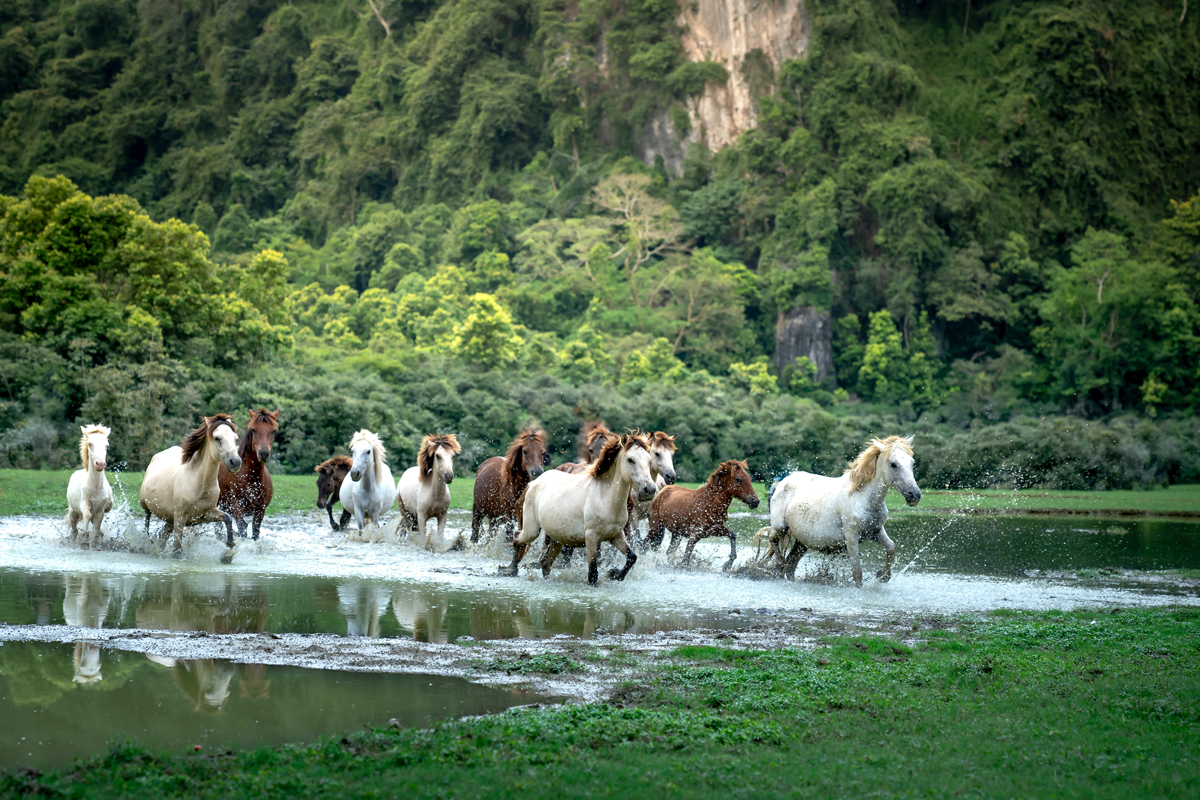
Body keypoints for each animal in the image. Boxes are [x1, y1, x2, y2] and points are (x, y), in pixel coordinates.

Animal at [139, 412, 241, 556]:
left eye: (235, 438)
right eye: (217, 438)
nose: (235, 462)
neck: (200, 487)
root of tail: (156, 456)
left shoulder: (206, 514)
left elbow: (227, 518)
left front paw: (229, 547)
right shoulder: (180, 518)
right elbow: (177, 550)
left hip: (170, 518)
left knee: (162, 534)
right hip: (146, 505)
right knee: (147, 524)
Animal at [218, 410, 278, 542]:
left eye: (273, 431)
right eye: (253, 430)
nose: (264, 453)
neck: (252, 477)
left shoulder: (260, 510)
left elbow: (255, 532)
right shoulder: (237, 507)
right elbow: (242, 529)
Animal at [506, 434, 657, 585]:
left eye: (649, 460)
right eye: (630, 460)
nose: (649, 490)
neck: (605, 497)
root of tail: (533, 483)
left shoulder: (616, 535)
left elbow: (632, 557)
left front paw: (614, 573)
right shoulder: (591, 537)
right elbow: (593, 574)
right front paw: (610, 574)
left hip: (556, 539)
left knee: (545, 564)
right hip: (532, 530)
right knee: (517, 538)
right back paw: (512, 569)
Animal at [763, 438, 921, 587]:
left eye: (912, 462)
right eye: (893, 464)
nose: (914, 495)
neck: (863, 497)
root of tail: (783, 482)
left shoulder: (875, 531)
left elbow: (891, 547)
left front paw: (883, 576)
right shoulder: (851, 537)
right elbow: (857, 572)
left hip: (803, 541)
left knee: (791, 565)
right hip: (780, 527)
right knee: (773, 541)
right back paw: (779, 565)